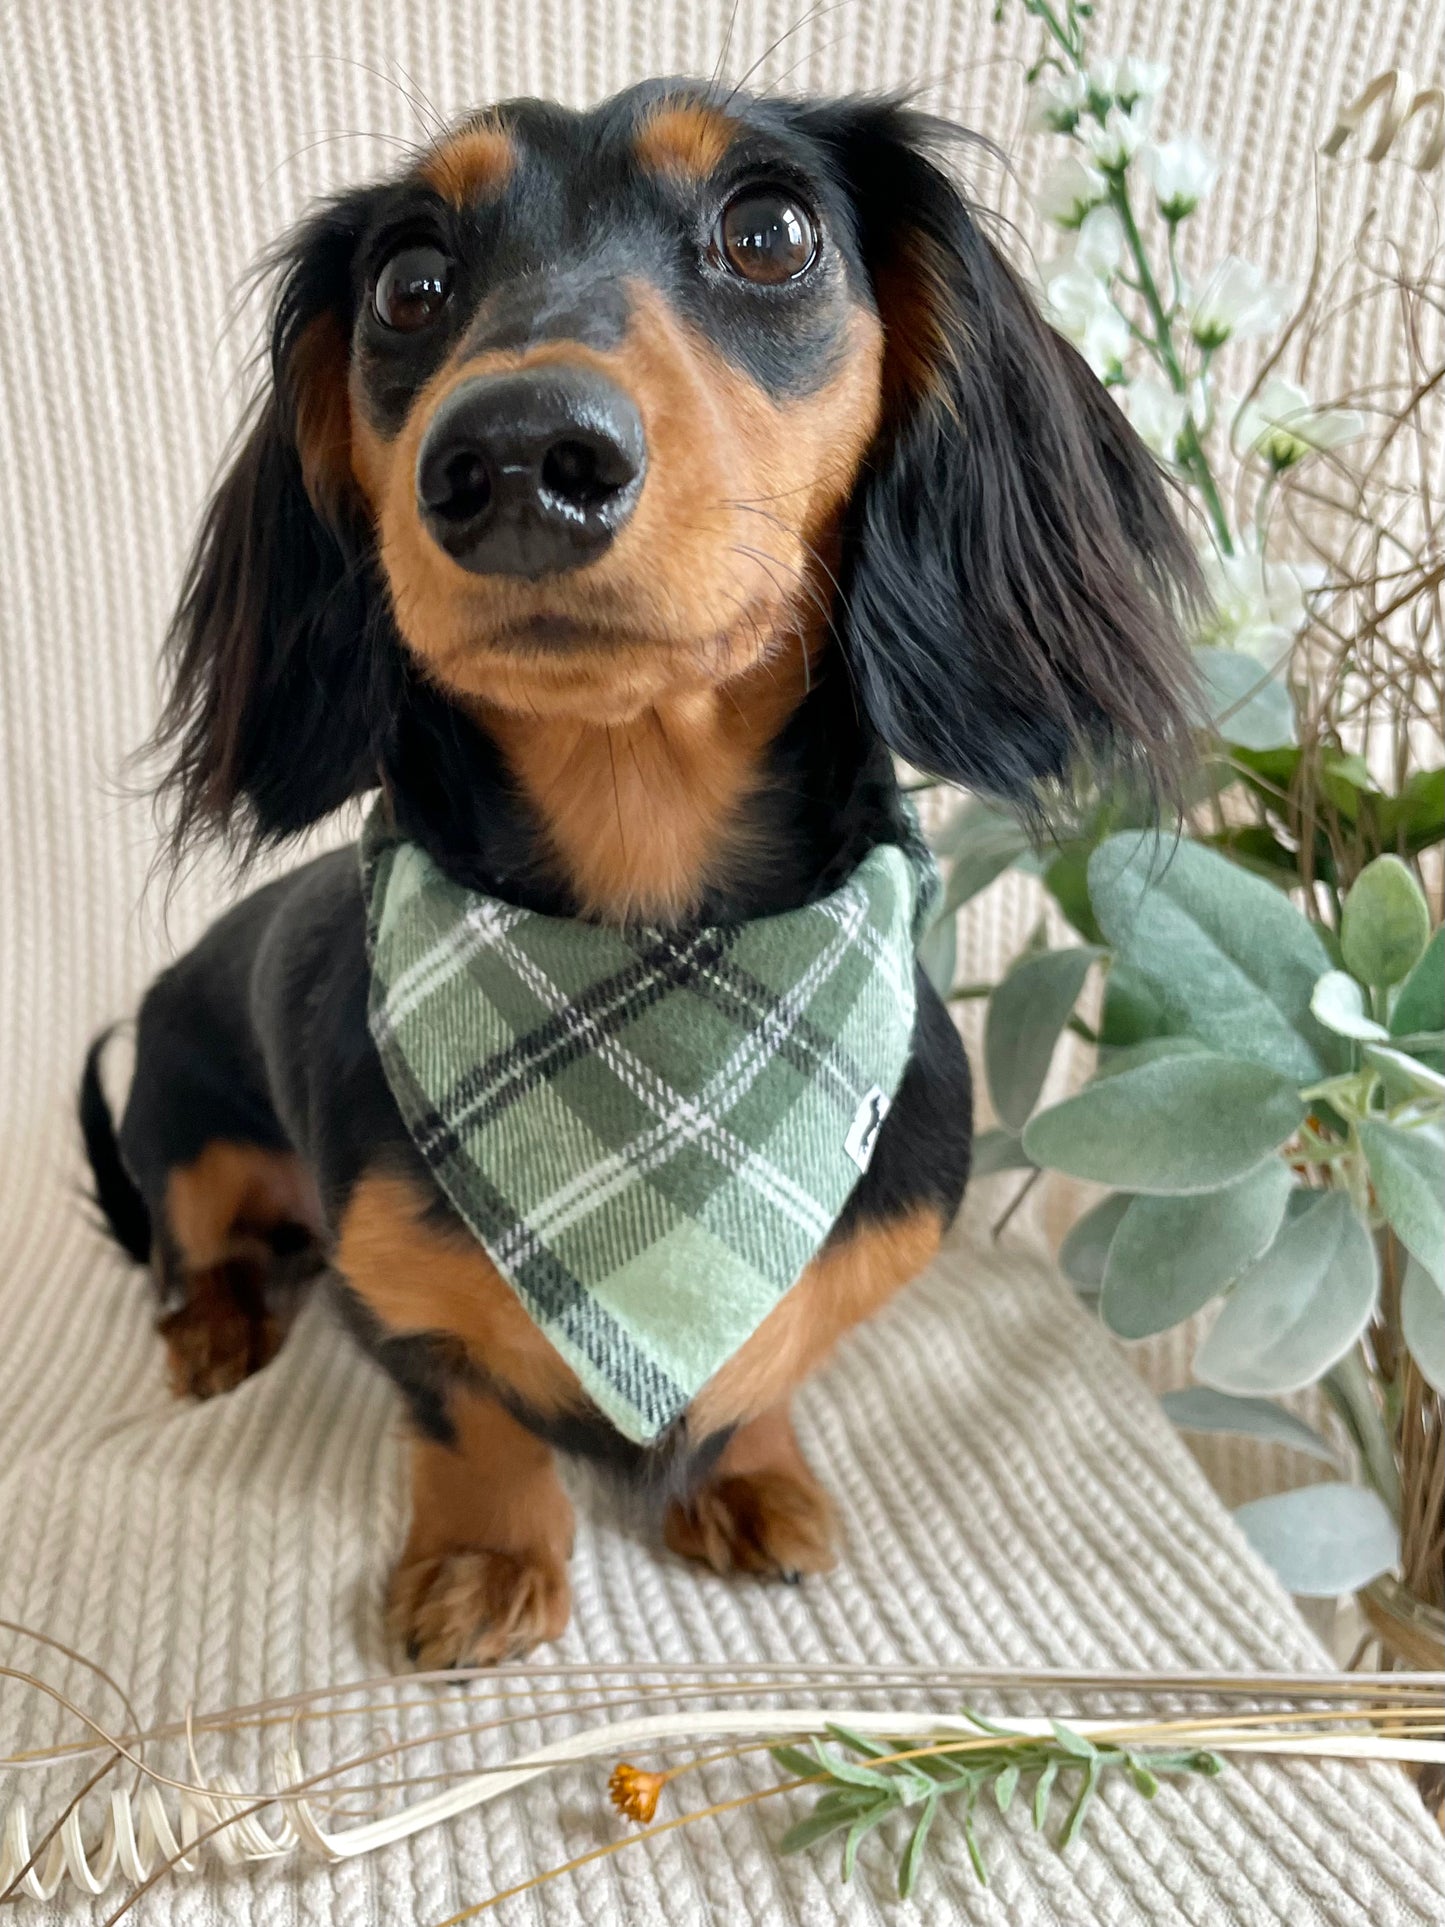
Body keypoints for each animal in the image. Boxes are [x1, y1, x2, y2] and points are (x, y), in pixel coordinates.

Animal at [76, 82, 1202, 1664]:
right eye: (407, 281)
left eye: (770, 231)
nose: (513, 457)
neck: (647, 958)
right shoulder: (393, 1297)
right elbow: (469, 1413)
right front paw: (483, 1559)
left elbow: (764, 1371)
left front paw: (746, 1476)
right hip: (179, 1123)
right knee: (194, 1248)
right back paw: (218, 1326)